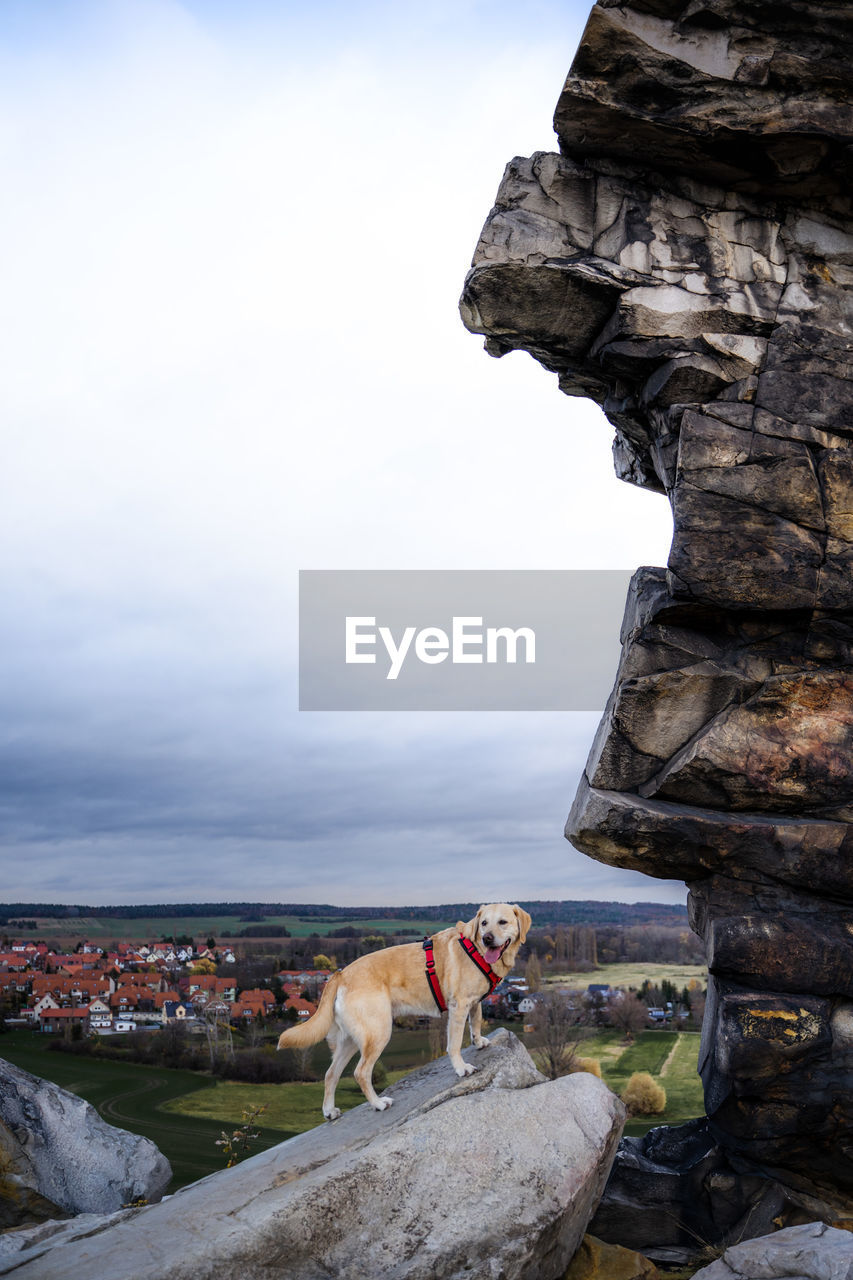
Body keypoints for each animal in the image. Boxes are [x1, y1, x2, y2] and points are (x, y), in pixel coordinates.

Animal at [275, 901, 527, 1121]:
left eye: (502, 922)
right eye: (484, 923)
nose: (487, 938)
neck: (476, 950)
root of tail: (340, 974)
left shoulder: (473, 1003)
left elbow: (476, 1020)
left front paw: (479, 1041)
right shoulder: (459, 1006)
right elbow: (454, 1044)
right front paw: (461, 1067)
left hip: (350, 1040)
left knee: (331, 1074)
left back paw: (329, 1111)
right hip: (378, 1032)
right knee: (361, 1072)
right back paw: (378, 1104)